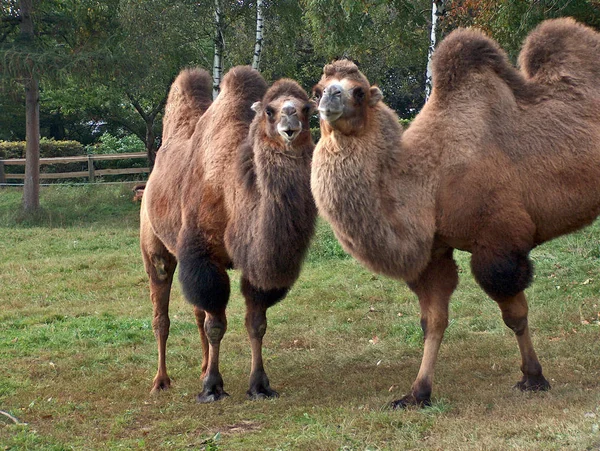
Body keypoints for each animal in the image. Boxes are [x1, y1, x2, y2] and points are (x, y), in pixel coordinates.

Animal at [141, 67, 318, 402]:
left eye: (307, 109)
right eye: (269, 110)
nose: (290, 123)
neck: (232, 192)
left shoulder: (256, 262)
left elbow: (256, 323)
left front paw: (259, 385)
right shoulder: (204, 256)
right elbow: (216, 324)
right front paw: (212, 387)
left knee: (196, 313)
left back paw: (200, 367)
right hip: (154, 245)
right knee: (162, 314)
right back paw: (160, 380)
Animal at [310, 17, 600, 408]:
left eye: (357, 91)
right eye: (316, 89)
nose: (329, 99)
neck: (428, 181)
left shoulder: (498, 242)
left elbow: (515, 316)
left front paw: (534, 377)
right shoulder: (434, 254)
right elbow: (433, 321)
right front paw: (417, 393)